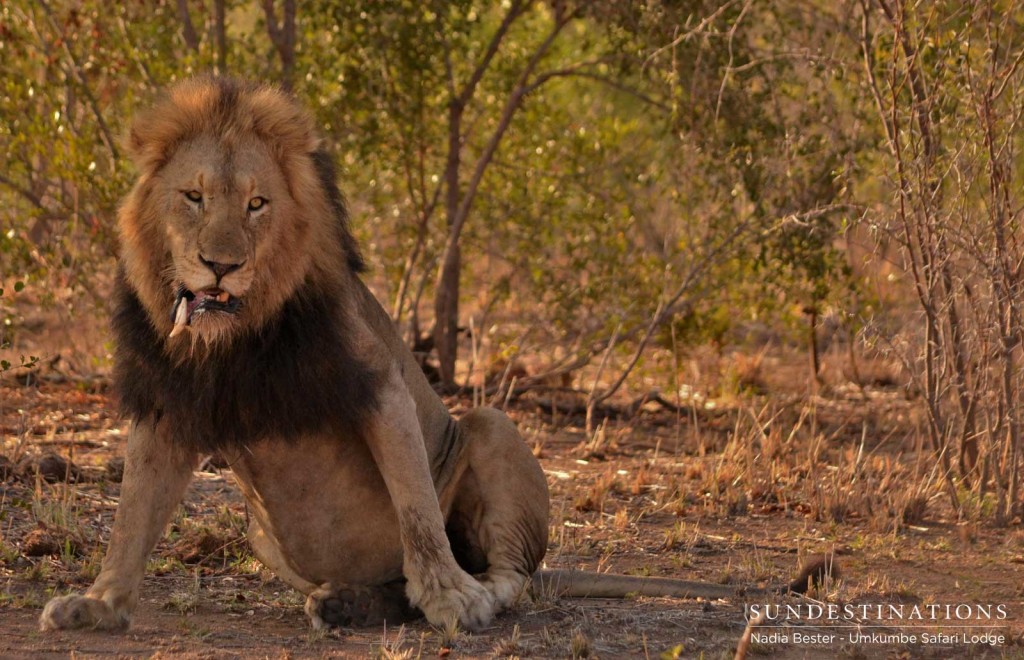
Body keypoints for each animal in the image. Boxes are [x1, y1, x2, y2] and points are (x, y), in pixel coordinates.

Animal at [41, 77, 839, 634]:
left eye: (257, 204)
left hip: (490, 426)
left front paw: (453, 598)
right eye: (194, 197)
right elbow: (132, 517)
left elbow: (417, 510)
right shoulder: (172, 404)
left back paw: (467, 589)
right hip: (260, 534)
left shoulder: (379, 385)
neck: (235, 341)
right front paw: (98, 604)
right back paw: (347, 604)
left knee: (515, 575)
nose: (220, 265)